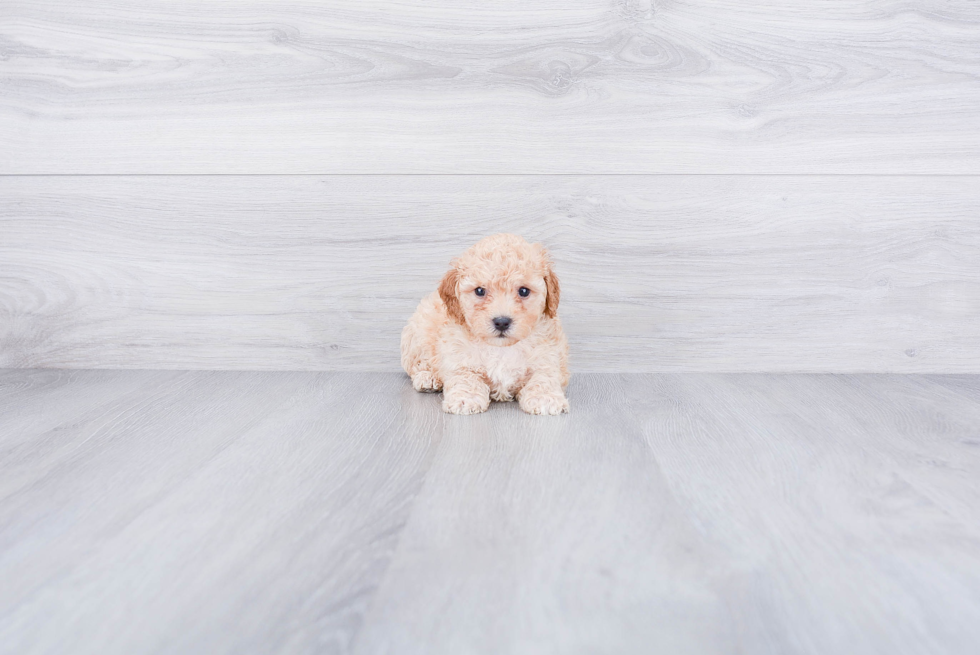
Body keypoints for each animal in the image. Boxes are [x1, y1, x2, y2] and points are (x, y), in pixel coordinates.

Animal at [402, 234, 572, 416]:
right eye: (480, 291)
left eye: (524, 291)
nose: (502, 322)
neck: (501, 348)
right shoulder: (458, 360)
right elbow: (466, 377)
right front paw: (466, 398)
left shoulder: (549, 358)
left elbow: (544, 376)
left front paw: (546, 398)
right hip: (419, 335)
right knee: (417, 364)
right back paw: (428, 378)